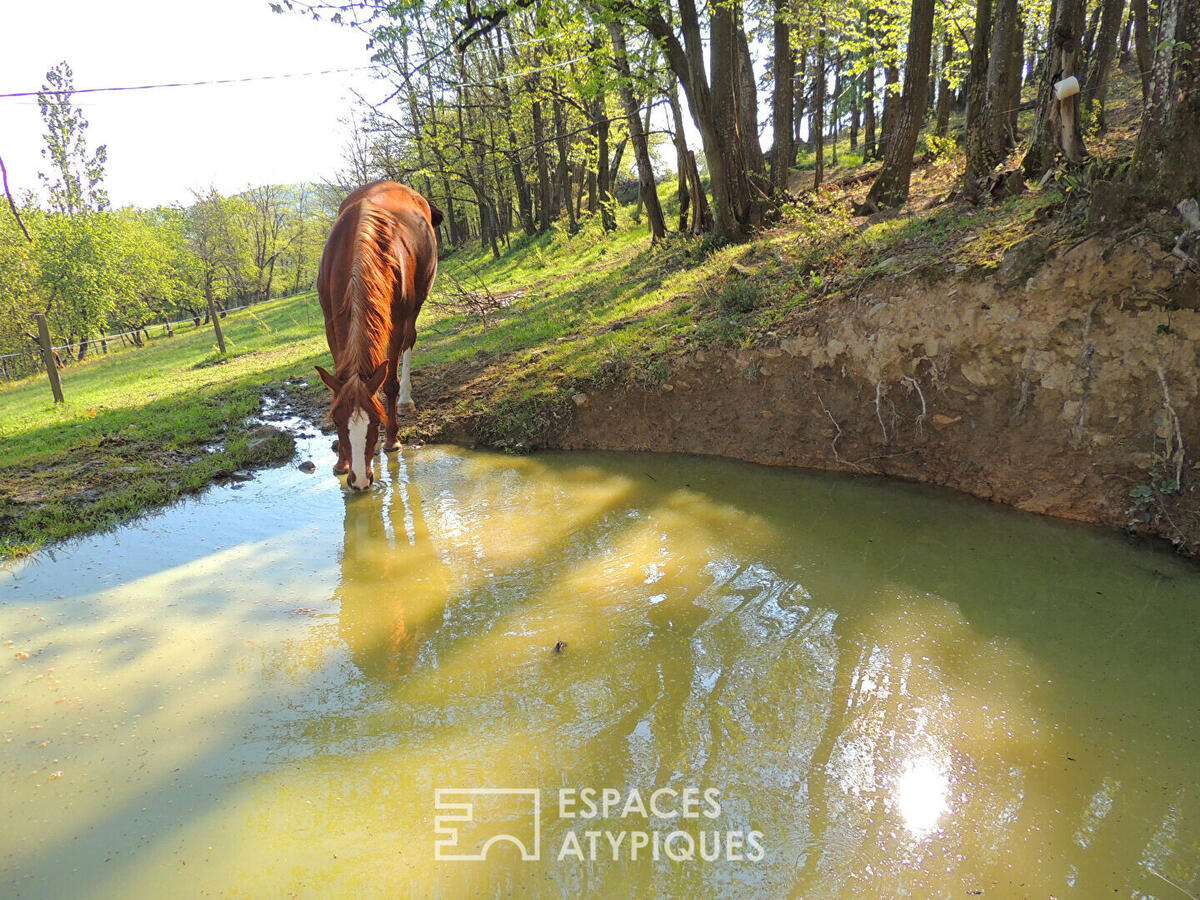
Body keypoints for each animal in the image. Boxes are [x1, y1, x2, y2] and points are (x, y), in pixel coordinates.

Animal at [316, 182, 444, 489]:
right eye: (336, 422)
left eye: (377, 421)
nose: (361, 480)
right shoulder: (330, 322)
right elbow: (337, 385)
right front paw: (341, 463)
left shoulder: (396, 321)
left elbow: (389, 383)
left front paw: (392, 441)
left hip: (415, 307)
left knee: (410, 341)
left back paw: (406, 400)